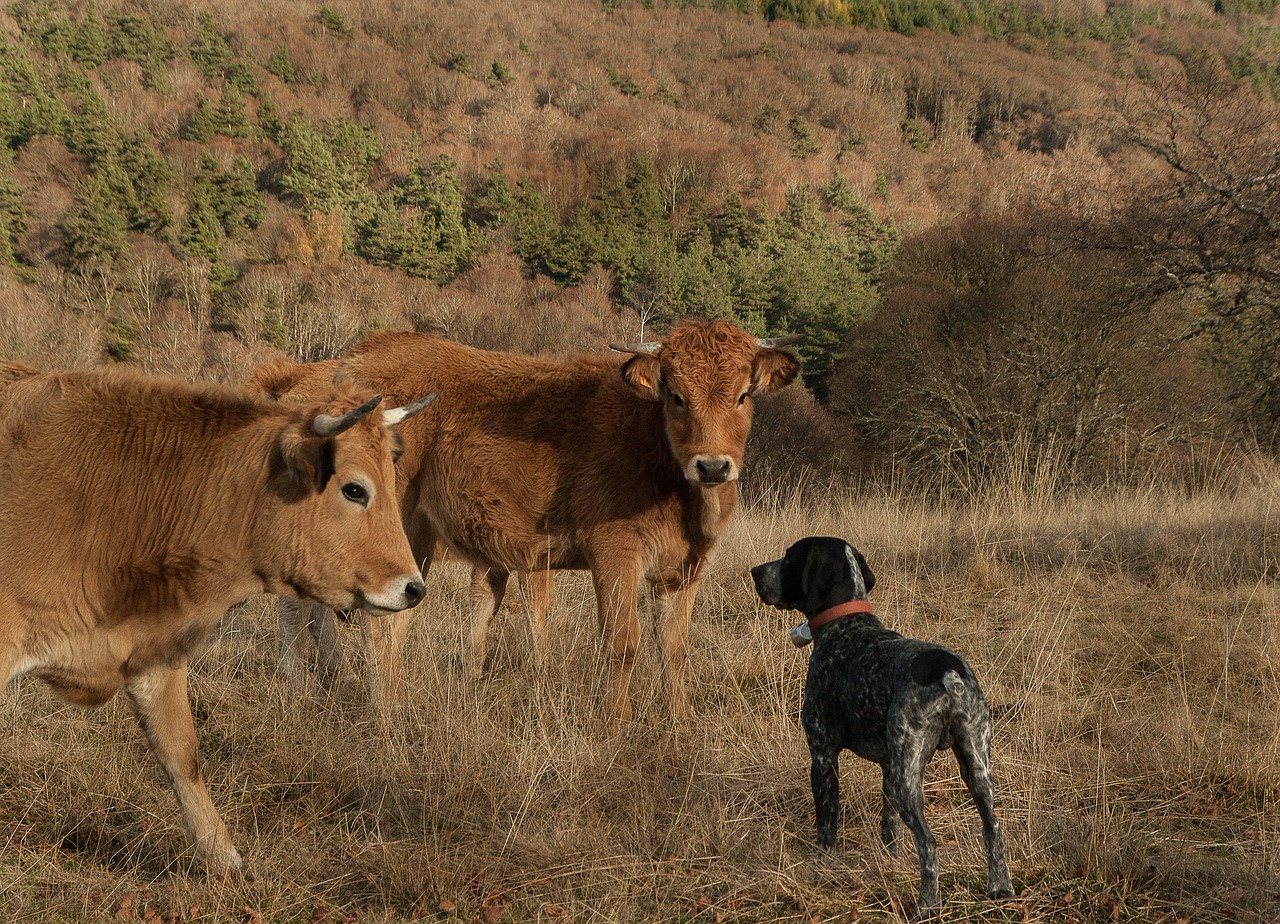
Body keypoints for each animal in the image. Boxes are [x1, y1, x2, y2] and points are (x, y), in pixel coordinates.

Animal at [252, 319, 798, 721]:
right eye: (676, 396)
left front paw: (679, 721)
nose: (712, 466)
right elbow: (621, 641)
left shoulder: (684, 568)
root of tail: (361, 357)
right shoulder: (614, 554)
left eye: (743, 395)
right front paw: (617, 723)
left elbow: (675, 647)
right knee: (353, 615)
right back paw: (368, 706)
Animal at [747, 532, 1008, 916]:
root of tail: (947, 671)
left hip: (908, 780)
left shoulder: (823, 757)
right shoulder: (888, 764)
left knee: (929, 844)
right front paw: (889, 863)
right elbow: (889, 828)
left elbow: (826, 828)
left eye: (789, 557)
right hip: (973, 766)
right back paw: (1001, 889)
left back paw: (926, 905)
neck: (846, 626)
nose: (755, 571)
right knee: (993, 828)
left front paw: (822, 870)